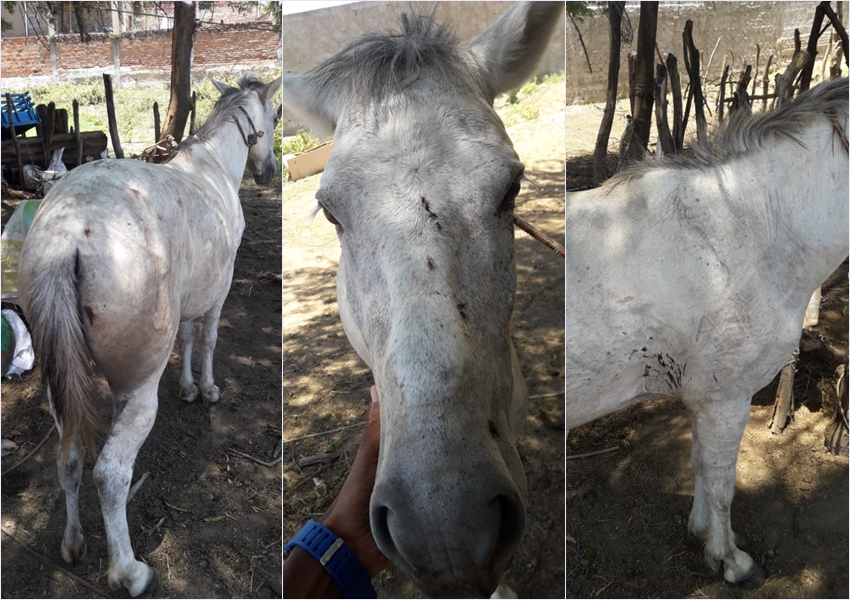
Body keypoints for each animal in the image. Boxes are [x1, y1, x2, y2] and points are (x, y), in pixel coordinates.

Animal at [17, 75, 281, 597]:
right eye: (276, 117)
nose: (269, 174)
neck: (213, 169)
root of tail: (65, 237)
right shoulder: (218, 294)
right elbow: (208, 340)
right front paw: (207, 389)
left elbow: (186, 339)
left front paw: (188, 387)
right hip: (140, 390)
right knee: (110, 473)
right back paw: (129, 571)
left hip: (60, 388)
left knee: (70, 458)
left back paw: (74, 544)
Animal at [563, 77, 848, 588]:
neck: (745, 231)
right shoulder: (726, 398)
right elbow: (721, 484)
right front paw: (732, 562)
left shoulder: (702, 398)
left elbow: (699, 465)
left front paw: (702, 533)